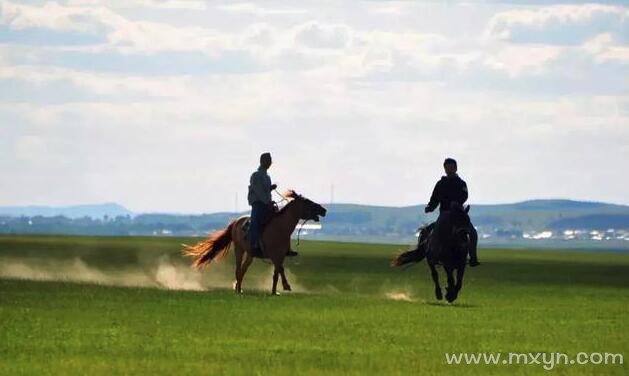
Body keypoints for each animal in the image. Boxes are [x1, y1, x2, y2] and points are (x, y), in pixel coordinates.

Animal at [182, 192, 326, 296]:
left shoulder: (280, 255)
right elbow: (280, 270)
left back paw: (239, 288)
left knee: (243, 269)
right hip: (239, 249)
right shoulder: (274, 255)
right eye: (308, 202)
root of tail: (236, 221)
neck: (280, 227)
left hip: (250, 254)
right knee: (238, 269)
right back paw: (238, 290)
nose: (323, 209)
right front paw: (286, 286)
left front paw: (275, 292)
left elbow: (276, 273)